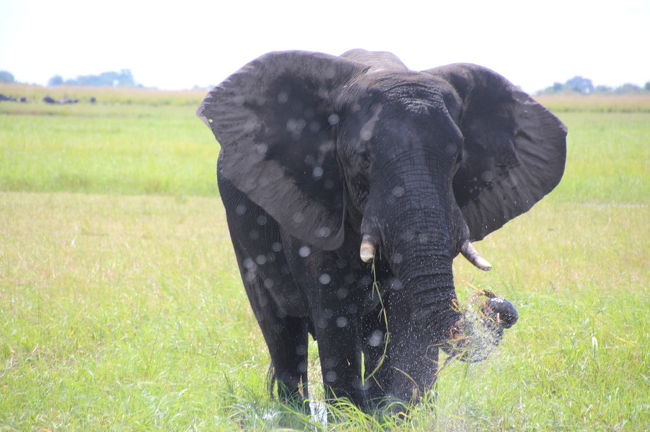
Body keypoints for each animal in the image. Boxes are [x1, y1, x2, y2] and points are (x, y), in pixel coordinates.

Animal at [195, 49, 564, 414]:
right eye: (363, 158)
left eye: (458, 158)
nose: (496, 303)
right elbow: (334, 306)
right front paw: (351, 416)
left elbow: (405, 312)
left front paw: (399, 413)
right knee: (280, 326)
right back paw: (295, 415)